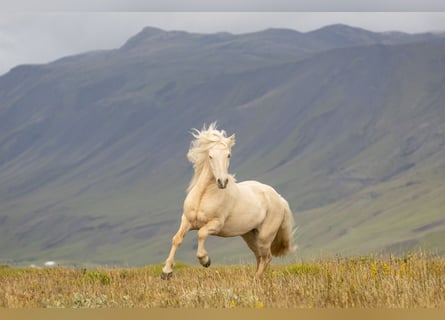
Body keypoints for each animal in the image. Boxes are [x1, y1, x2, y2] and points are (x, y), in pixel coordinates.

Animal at [160, 122, 294, 280]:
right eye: (210, 156)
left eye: (228, 155)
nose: (222, 182)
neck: (204, 195)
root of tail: (279, 198)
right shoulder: (186, 220)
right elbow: (177, 239)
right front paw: (166, 272)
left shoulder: (216, 224)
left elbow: (201, 234)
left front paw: (205, 260)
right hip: (249, 235)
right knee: (259, 256)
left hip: (265, 236)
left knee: (267, 257)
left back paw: (255, 279)